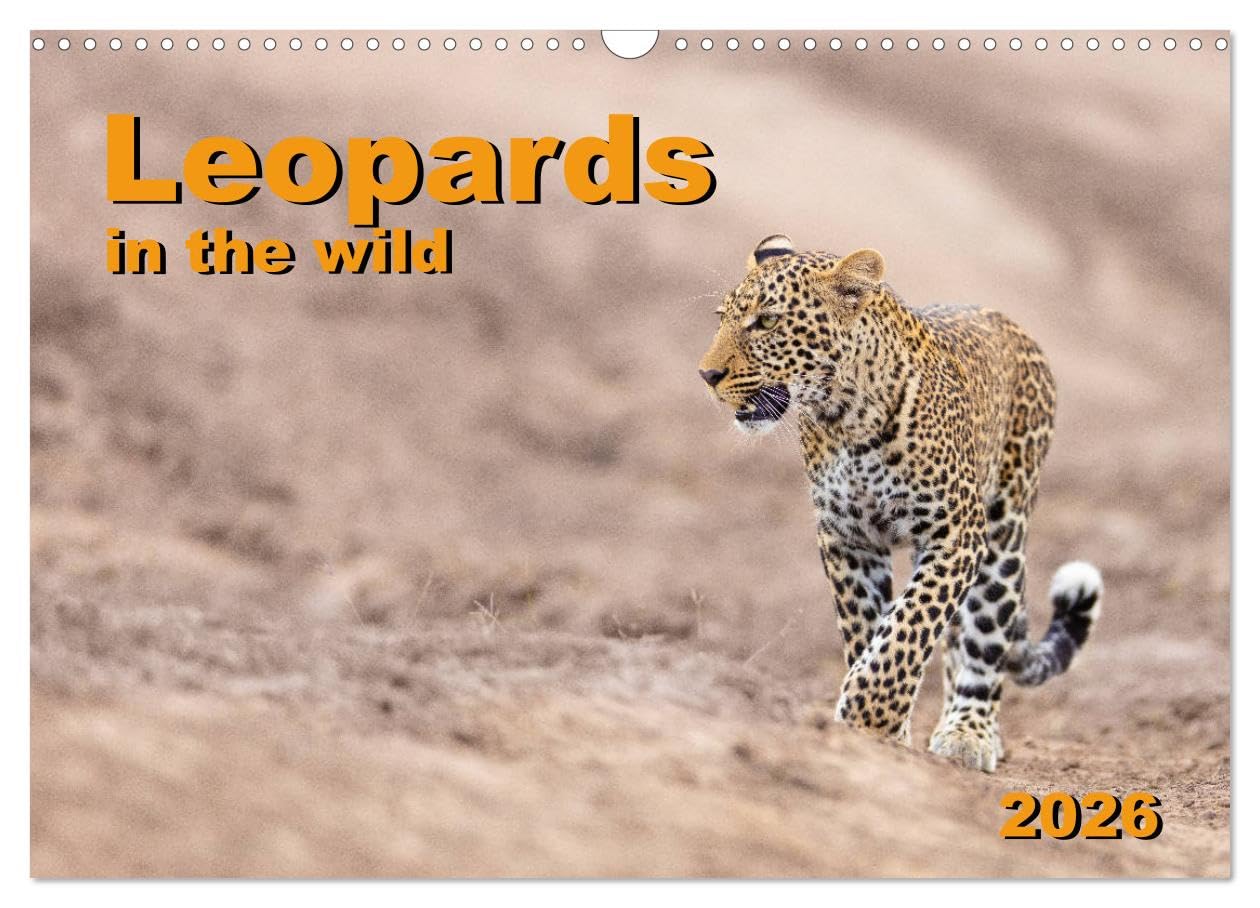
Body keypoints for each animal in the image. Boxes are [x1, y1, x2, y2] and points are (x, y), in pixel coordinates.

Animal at [698, 235, 1102, 772]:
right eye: (722, 318)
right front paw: (880, 726)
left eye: (766, 322)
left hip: (1003, 531)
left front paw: (870, 714)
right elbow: (869, 628)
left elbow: (910, 626)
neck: (844, 418)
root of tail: (1007, 321)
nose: (707, 374)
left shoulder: (955, 533)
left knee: (985, 633)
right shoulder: (847, 537)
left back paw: (970, 731)